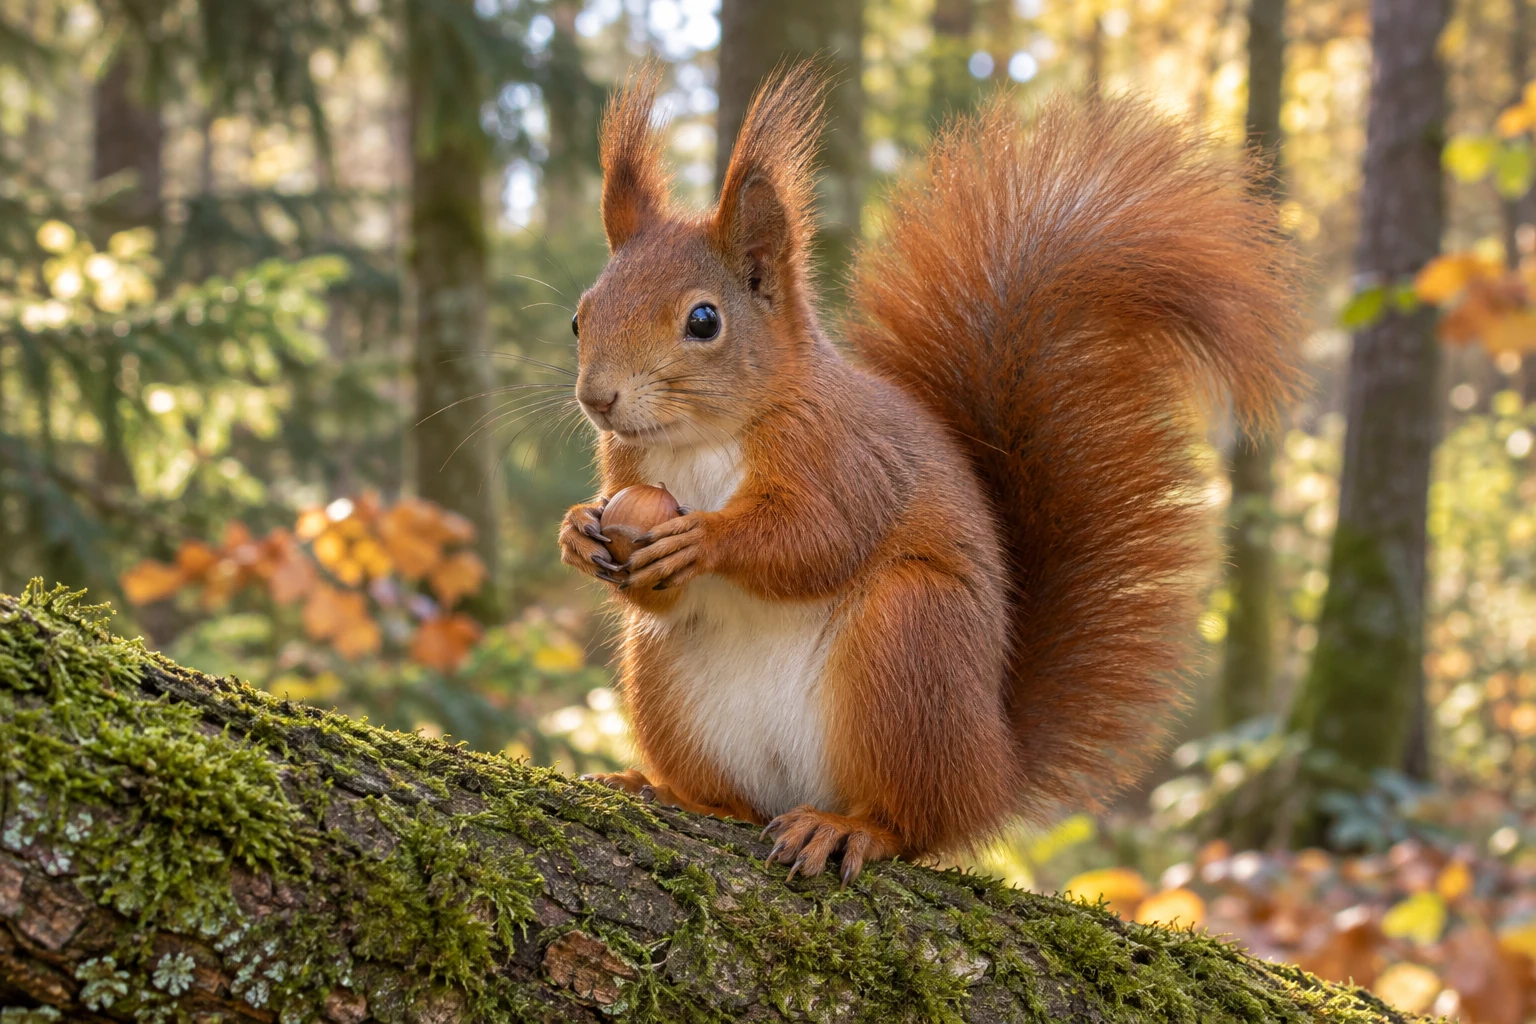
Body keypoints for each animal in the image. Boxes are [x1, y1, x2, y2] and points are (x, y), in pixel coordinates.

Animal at [559, 62, 1303, 883]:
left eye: (703, 321)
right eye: (580, 316)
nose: (598, 398)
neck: (700, 440)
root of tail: (992, 771)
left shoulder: (843, 456)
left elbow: (818, 538)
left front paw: (705, 540)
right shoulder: (627, 465)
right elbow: (651, 581)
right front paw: (576, 531)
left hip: (911, 640)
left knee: (912, 822)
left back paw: (847, 828)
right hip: (668, 678)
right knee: (736, 796)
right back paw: (667, 791)